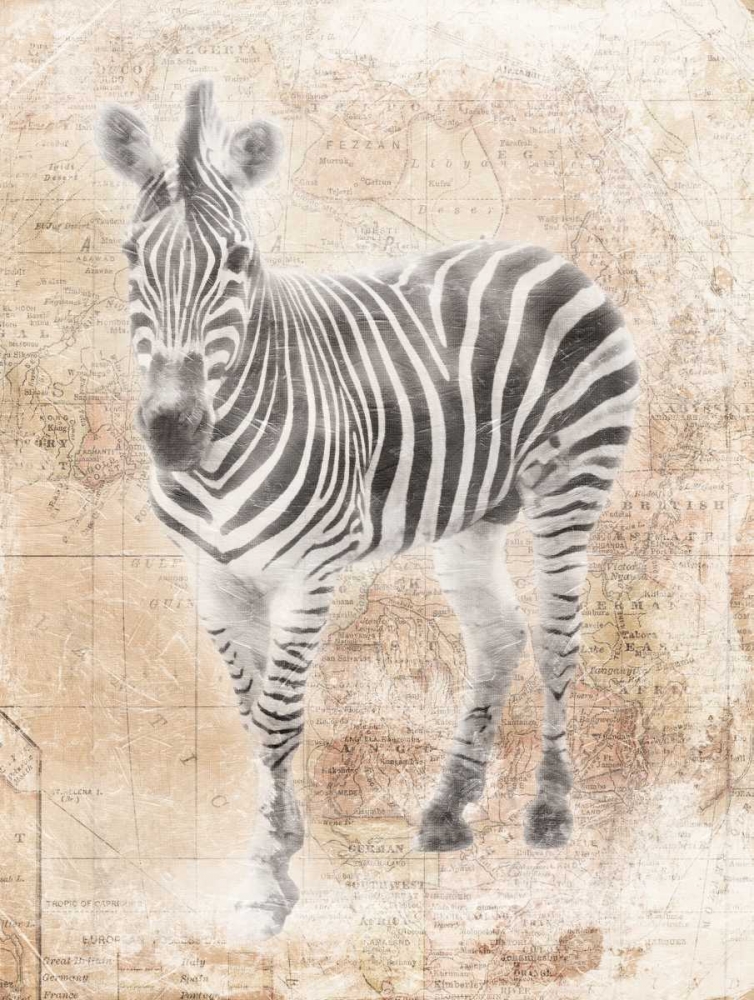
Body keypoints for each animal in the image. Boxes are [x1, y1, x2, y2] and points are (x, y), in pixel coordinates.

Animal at [95, 79, 639, 940]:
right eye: (129, 257)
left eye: (239, 262)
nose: (174, 429)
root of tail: (543, 252)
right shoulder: (212, 577)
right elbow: (251, 713)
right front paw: (283, 840)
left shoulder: (307, 573)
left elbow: (279, 716)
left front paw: (266, 879)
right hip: (475, 510)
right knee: (498, 636)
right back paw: (448, 809)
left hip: (572, 480)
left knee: (558, 639)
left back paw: (551, 811)